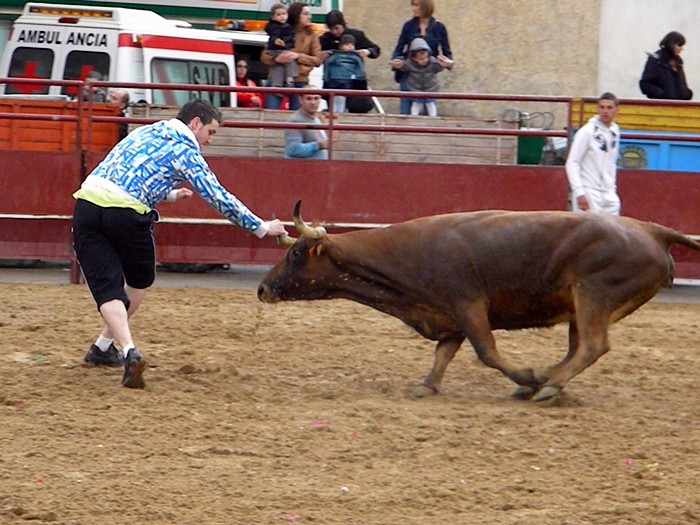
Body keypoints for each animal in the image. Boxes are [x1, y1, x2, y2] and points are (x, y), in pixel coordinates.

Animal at [258, 201, 700, 402]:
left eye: (295, 254)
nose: (263, 288)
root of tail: (652, 230)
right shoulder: (449, 316)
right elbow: (442, 354)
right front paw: (427, 386)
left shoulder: (469, 306)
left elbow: (487, 352)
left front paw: (526, 376)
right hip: (580, 305)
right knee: (579, 347)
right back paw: (548, 381)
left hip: (593, 295)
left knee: (593, 345)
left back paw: (546, 386)